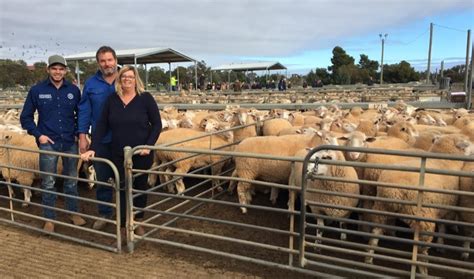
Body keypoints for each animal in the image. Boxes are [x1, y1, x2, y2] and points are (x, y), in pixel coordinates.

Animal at [362, 135, 470, 276]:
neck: (444, 161)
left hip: (382, 208)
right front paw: (441, 245)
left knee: (375, 233)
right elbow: (442, 227)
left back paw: (369, 258)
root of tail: (395, 190)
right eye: (468, 144)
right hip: (423, 218)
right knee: (422, 249)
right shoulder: (447, 208)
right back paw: (423, 271)